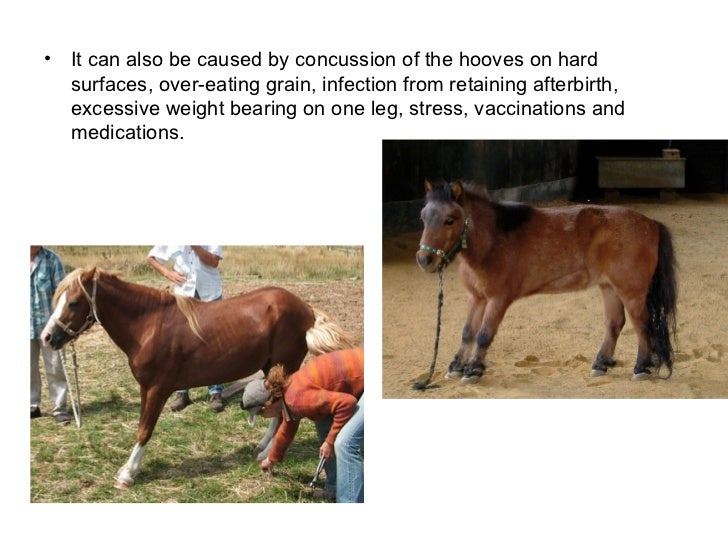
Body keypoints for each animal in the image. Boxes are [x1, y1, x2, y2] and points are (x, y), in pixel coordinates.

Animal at [41, 267, 353, 488]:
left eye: (74, 302)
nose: (47, 337)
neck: (149, 325)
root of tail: (306, 309)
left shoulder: (157, 389)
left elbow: (144, 430)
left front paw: (127, 474)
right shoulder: (145, 389)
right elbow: (141, 426)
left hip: (285, 367)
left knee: (288, 416)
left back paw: (266, 456)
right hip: (271, 369)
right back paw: (263, 448)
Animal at [415, 180, 677, 385]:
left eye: (450, 220)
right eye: (423, 217)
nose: (424, 259)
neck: (494, 241)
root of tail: (651, 224)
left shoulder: (498, 300)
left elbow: (483, 334)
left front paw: (472, 371)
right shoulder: (476, 298)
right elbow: (467, 333)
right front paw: (456, 366)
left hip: (631, 292)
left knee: (643, 325)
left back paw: (640, 368)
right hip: (609, 287)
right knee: (615, 324)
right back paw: (600, 364)